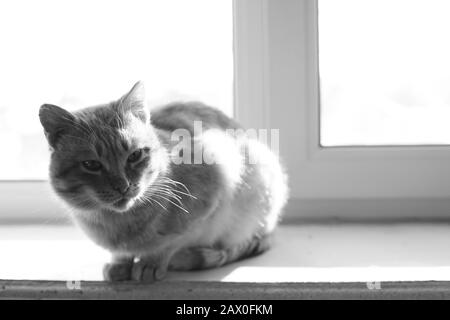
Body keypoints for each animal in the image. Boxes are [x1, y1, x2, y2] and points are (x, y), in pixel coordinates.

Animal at [40, 82, 290, 282]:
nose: (123, 186)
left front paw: (151, 263)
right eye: (91, 165)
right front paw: (120, 264)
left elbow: (171, 242)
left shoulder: (213, 192)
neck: (120, 225)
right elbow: (121, 255)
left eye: (135, 155)